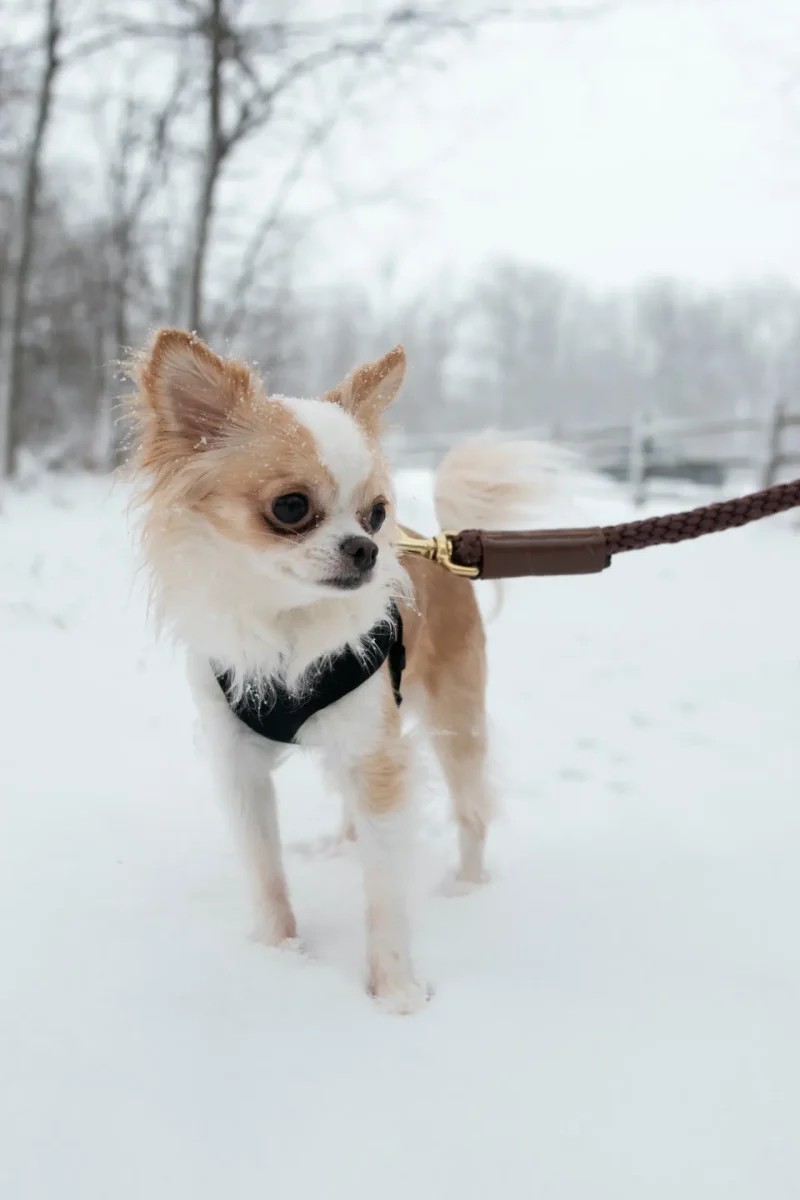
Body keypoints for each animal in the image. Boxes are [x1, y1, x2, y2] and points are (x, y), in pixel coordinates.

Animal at [130, 331, 556, 1012]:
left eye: (377, 513)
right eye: (291, 507)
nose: (369, 546)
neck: (289, 623)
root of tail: (439, 543)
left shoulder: (377, 757)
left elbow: (385, 892)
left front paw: (396, 992)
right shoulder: (240, 762)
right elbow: (266, 871)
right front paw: (278, 956)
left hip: (455, 718)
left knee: (471, 811)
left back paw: (466, 888)